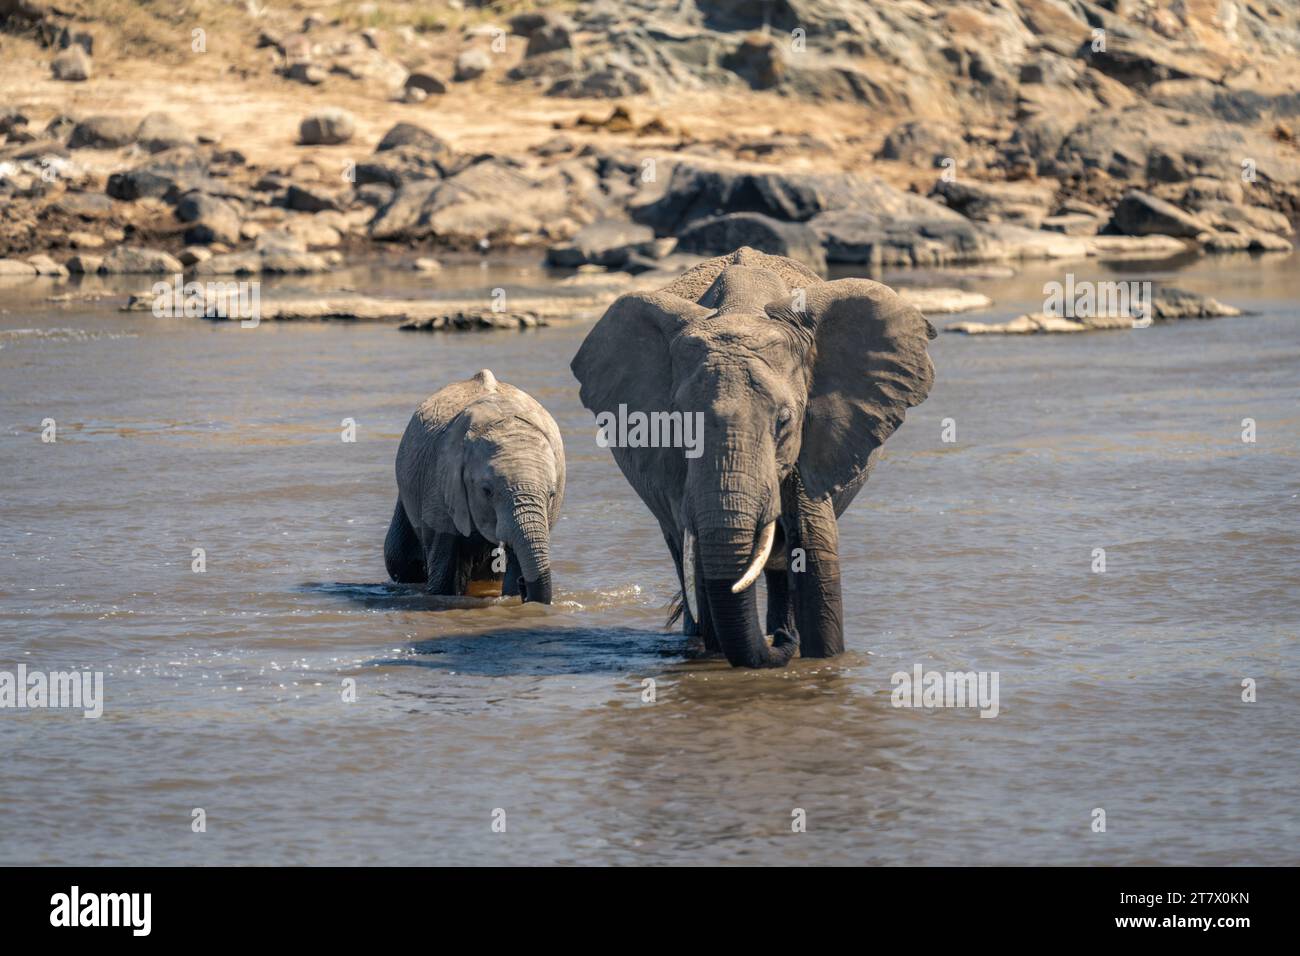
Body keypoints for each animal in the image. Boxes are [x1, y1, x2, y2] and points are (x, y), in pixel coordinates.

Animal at [384, 369, 565, 604]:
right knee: (399, 559)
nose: (524, 586)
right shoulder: (439, 482)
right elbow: (444, 575)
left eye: (551, 495)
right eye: (487, 491)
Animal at [571, 247, 935, 667]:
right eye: (675, 424)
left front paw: (820, 659)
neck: (742, 306)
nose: (779, 638)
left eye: (784, 421)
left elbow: (814, 552)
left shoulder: (813, 443)